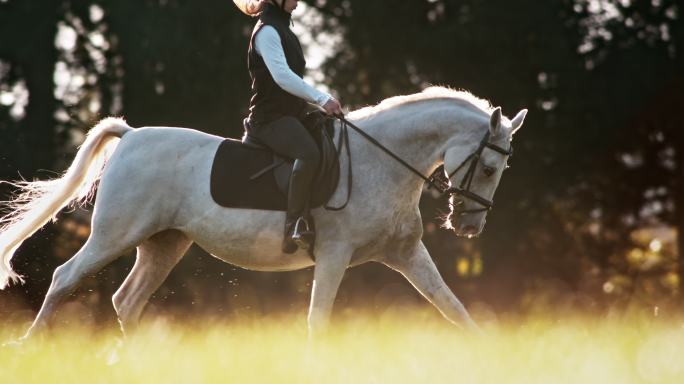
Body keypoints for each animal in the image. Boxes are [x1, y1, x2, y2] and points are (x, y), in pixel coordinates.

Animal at [0, 86, 528, 340]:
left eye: (502, 169)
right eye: (487, 167)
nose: (470, 226)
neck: (384, 160)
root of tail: (131, 135)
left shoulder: (406, 254)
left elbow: (453, 307)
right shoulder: (335, 255)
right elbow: (317, 318)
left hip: (164, 243)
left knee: (127, 301)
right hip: (115, 234)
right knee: (66, 278)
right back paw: (30, 344)